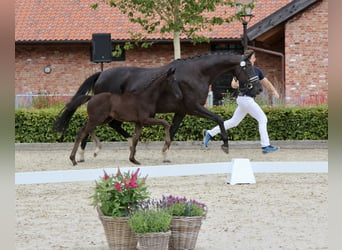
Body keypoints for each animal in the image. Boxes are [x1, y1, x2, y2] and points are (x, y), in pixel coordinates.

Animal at [54, 51, 260, 156]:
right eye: (248, 66)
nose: (257, 88)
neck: (197, 73)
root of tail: (101, 74)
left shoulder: (182, 111)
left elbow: (173, 130)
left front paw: (165, 149)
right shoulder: (194, 107)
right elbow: (219, 118)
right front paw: (225, 144)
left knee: (109, 126)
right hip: (107, 111)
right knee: (94, 126)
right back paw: (84, 152)